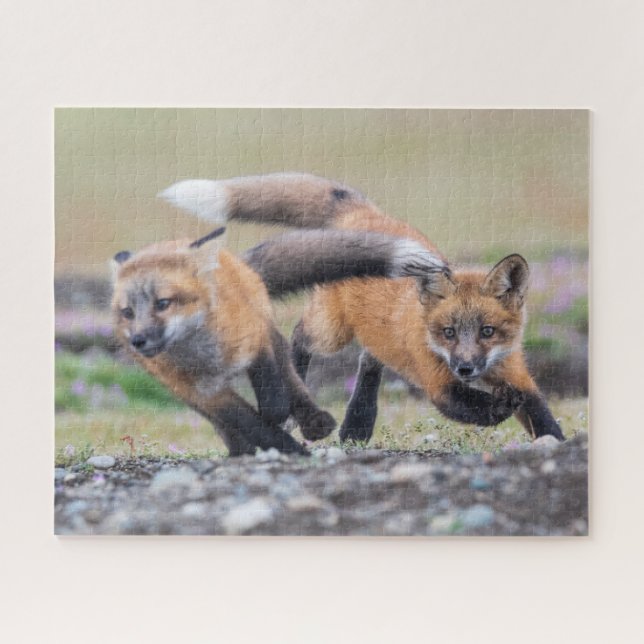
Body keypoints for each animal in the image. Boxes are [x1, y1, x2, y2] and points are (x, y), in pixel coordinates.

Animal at [111, 220, 448, 456]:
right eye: (127, 312)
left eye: (163, 303)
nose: (138, 340)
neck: (205, 357)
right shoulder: (204, 393)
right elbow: (248, 423)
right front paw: (283, 447)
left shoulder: (255, 339)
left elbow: (272, 394)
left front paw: (280, 420)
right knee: (228, 425)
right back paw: (241, 450)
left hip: (272, 332)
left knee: (293, 376)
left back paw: (313, 421)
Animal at [159, 173, 565, 444]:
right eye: (448, 332)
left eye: (487, 331)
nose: (466, 367)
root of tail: (364, 213)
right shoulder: (438, 382)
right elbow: (473, 407)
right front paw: (499, 408)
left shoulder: (515, 370)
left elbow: (539, 412)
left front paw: (556, 443)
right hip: (331, 332)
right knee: (300, 336)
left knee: (370, 361)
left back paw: (357, 424)